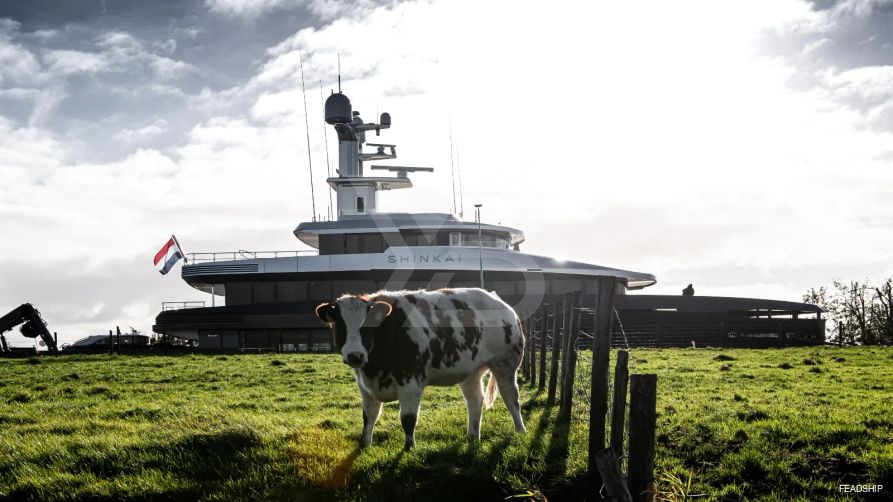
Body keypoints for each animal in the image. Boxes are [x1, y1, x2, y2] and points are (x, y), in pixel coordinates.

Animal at [314, 286, 528, 452]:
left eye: (369, 326)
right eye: (340, 326)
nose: (355, 355)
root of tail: (500, 303)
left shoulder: (411, 382)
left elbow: (408, 419)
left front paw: (409, 449)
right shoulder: (365, 386)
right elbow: (369, 417)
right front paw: (364, 445)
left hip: (505, 365)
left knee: (511, 399)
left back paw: (520, 432)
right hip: (471, 373)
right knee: (475, 401)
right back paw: (472, 436)